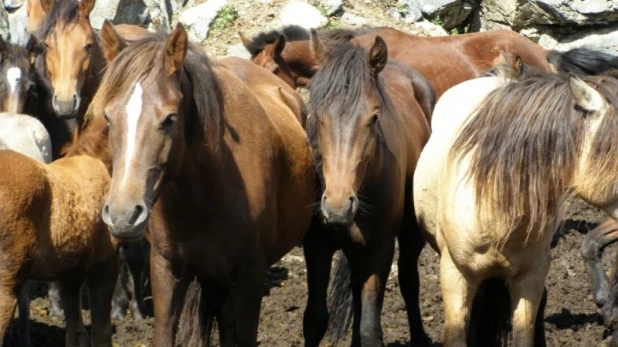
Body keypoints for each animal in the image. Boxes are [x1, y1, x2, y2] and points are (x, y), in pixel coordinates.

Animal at [300, 29, 430, 346]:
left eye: (374, 117)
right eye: (317, 115)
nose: (337, 206)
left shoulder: (379, 249)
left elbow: (371, 328)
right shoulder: (317, 246)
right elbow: (315, 320)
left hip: (410, 233)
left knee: (409, 280)